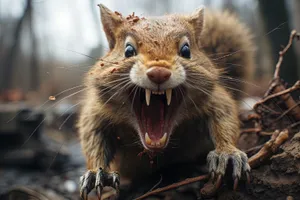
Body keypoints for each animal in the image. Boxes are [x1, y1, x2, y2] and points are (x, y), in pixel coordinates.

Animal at [78, 3, 255, 200]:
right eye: (128, 51)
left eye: (186, 51)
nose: (159, 72)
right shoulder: (96, 111)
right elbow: (93, 137)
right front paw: (97, 172)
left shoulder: (215, 99)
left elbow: (224, 120)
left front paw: (227, 153)